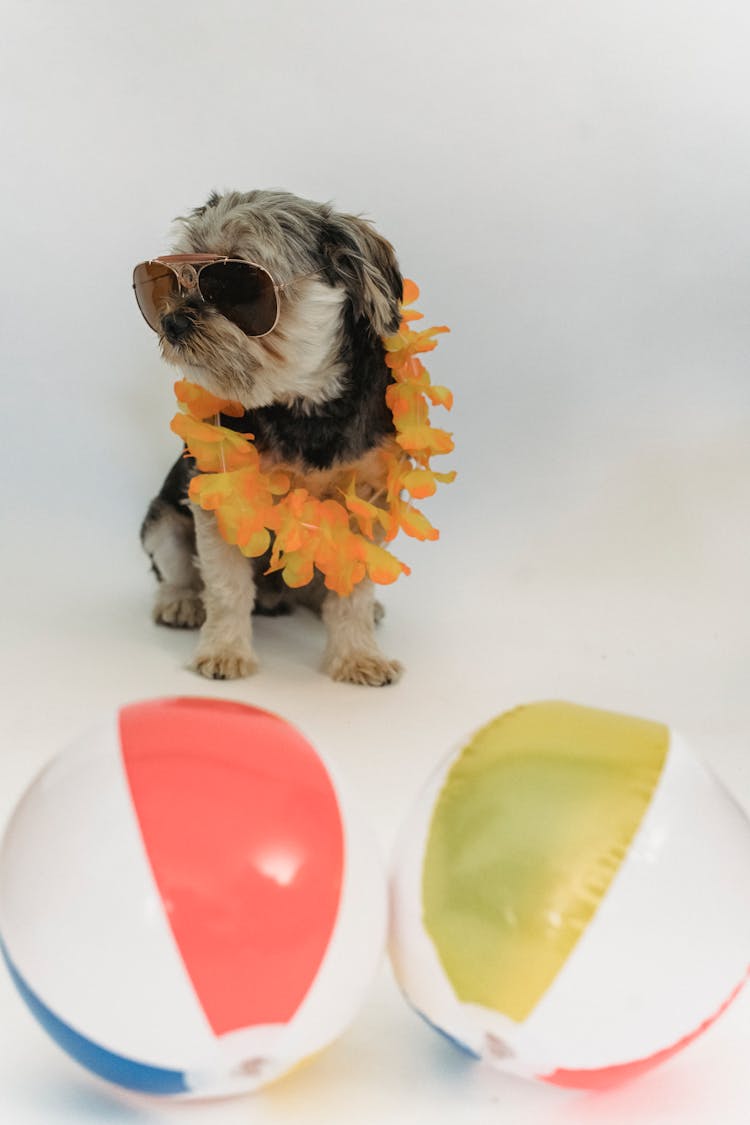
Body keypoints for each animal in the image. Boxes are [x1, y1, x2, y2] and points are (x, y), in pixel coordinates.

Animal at [134, 190, 404, 684]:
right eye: (177, 278)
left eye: (237, 282)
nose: (172, 322)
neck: (304, 403)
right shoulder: (220, 500)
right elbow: (225, 587)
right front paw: (224, 651)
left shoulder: (365, 503)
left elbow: (352, 595)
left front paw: (358, 656)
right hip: (162, 522)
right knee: (177, 572)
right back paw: (180, 602)